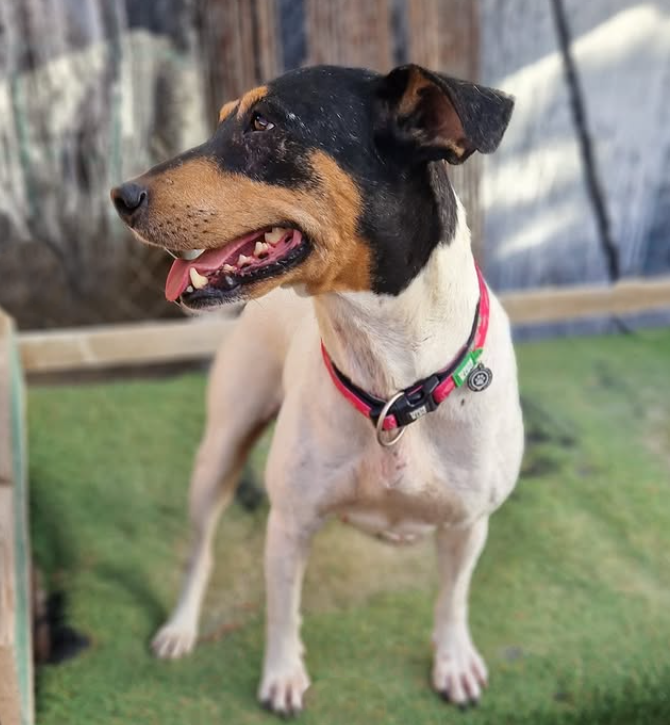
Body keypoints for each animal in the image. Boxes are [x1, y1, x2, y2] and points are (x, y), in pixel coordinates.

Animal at [111, 63, 524, 716]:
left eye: (263, 122)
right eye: (224, 119)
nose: (121, 196)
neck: (392, 377)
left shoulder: (468, 524)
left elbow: (451, 600)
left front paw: (453, 661)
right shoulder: (291, 523)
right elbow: (283, 610)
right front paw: (283, 675)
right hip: (220, 450)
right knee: (200, 551)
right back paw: (180, 626)